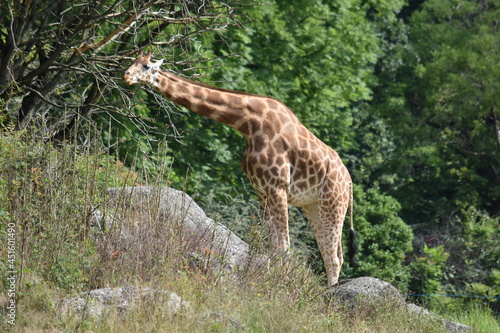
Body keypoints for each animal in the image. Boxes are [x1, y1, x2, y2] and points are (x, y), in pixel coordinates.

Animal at [124, 50, 356, 284]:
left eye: (145, 66)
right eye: (132, 61)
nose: (126, 76)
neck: (247, 124)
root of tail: (349, 182)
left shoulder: (278, 187)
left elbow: (284, 248)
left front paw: (278, 285)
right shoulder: (262, 190)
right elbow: (273, 247)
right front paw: (269, 281)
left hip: (333, 204)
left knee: (334, 257)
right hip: (313, 205)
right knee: (331, 252)